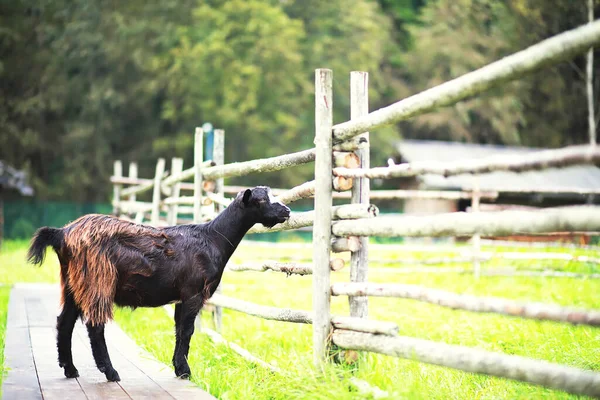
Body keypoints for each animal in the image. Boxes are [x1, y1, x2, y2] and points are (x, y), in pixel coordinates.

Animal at [27, 188, 290, 382]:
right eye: (262, 200)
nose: (287, 211)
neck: (212, 237)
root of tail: (62, 233)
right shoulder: (193, 293)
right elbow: (187, 331)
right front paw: (185, 372)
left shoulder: (181, 296)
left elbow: (179, 330)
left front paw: (178, 367)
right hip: (97, 278)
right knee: (95, 325)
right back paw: (110, 372)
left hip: (73, 281)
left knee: (65, 321)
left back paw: (70, 369)